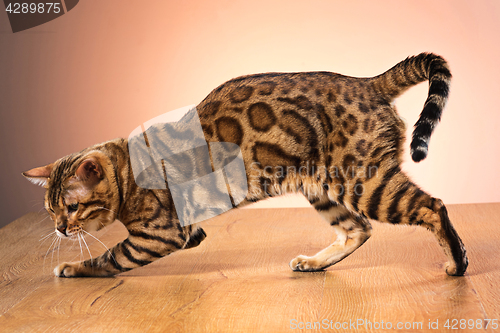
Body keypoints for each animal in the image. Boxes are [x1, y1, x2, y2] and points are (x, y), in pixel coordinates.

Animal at [23, 53, 468, 278]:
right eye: (50, 209)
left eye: (73, 208)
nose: (60, 229)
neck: (126, 169)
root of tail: (366, 81)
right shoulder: (187, 233)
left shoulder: (159, 235)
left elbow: (110, 258)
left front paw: (72, 266)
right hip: (321, 189)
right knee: (358, 230)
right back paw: (313, 263)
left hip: (364, 182)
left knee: (432, 207)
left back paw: (458, 263)